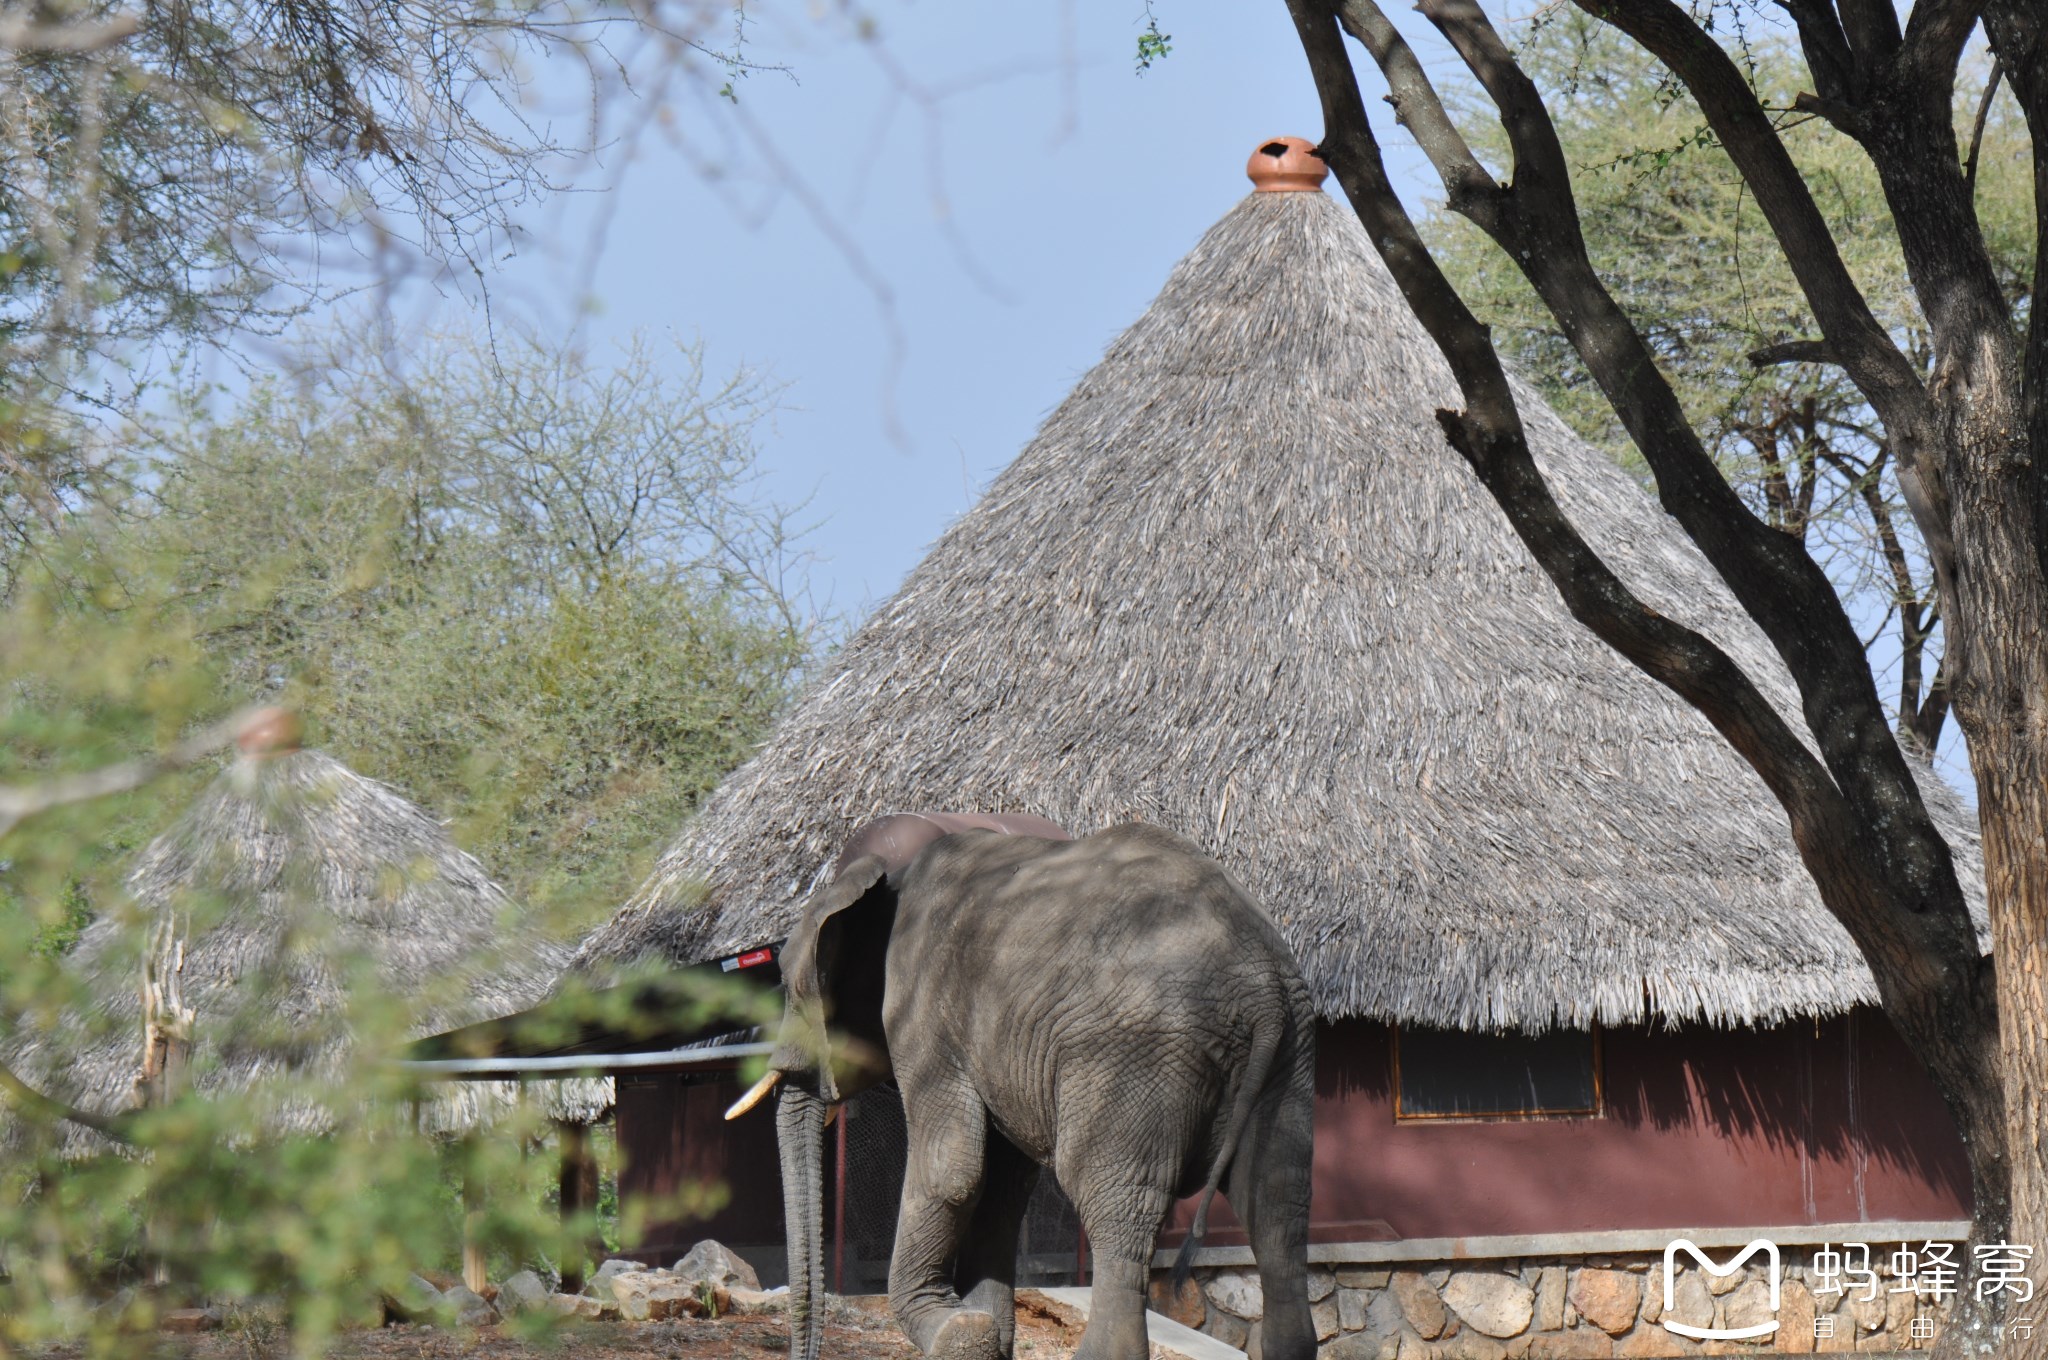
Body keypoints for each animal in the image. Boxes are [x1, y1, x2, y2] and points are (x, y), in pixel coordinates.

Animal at [729, 811, 1318, 1360]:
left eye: (787, 985)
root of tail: (1260, 986)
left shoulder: (926, 1013)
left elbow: (953, 1170)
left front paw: (957, 1332)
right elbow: (1001, 1188)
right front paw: (983, 1335)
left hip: (1135, 1057)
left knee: (1116, 1204)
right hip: (1289, 1057)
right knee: (1277, 1206)